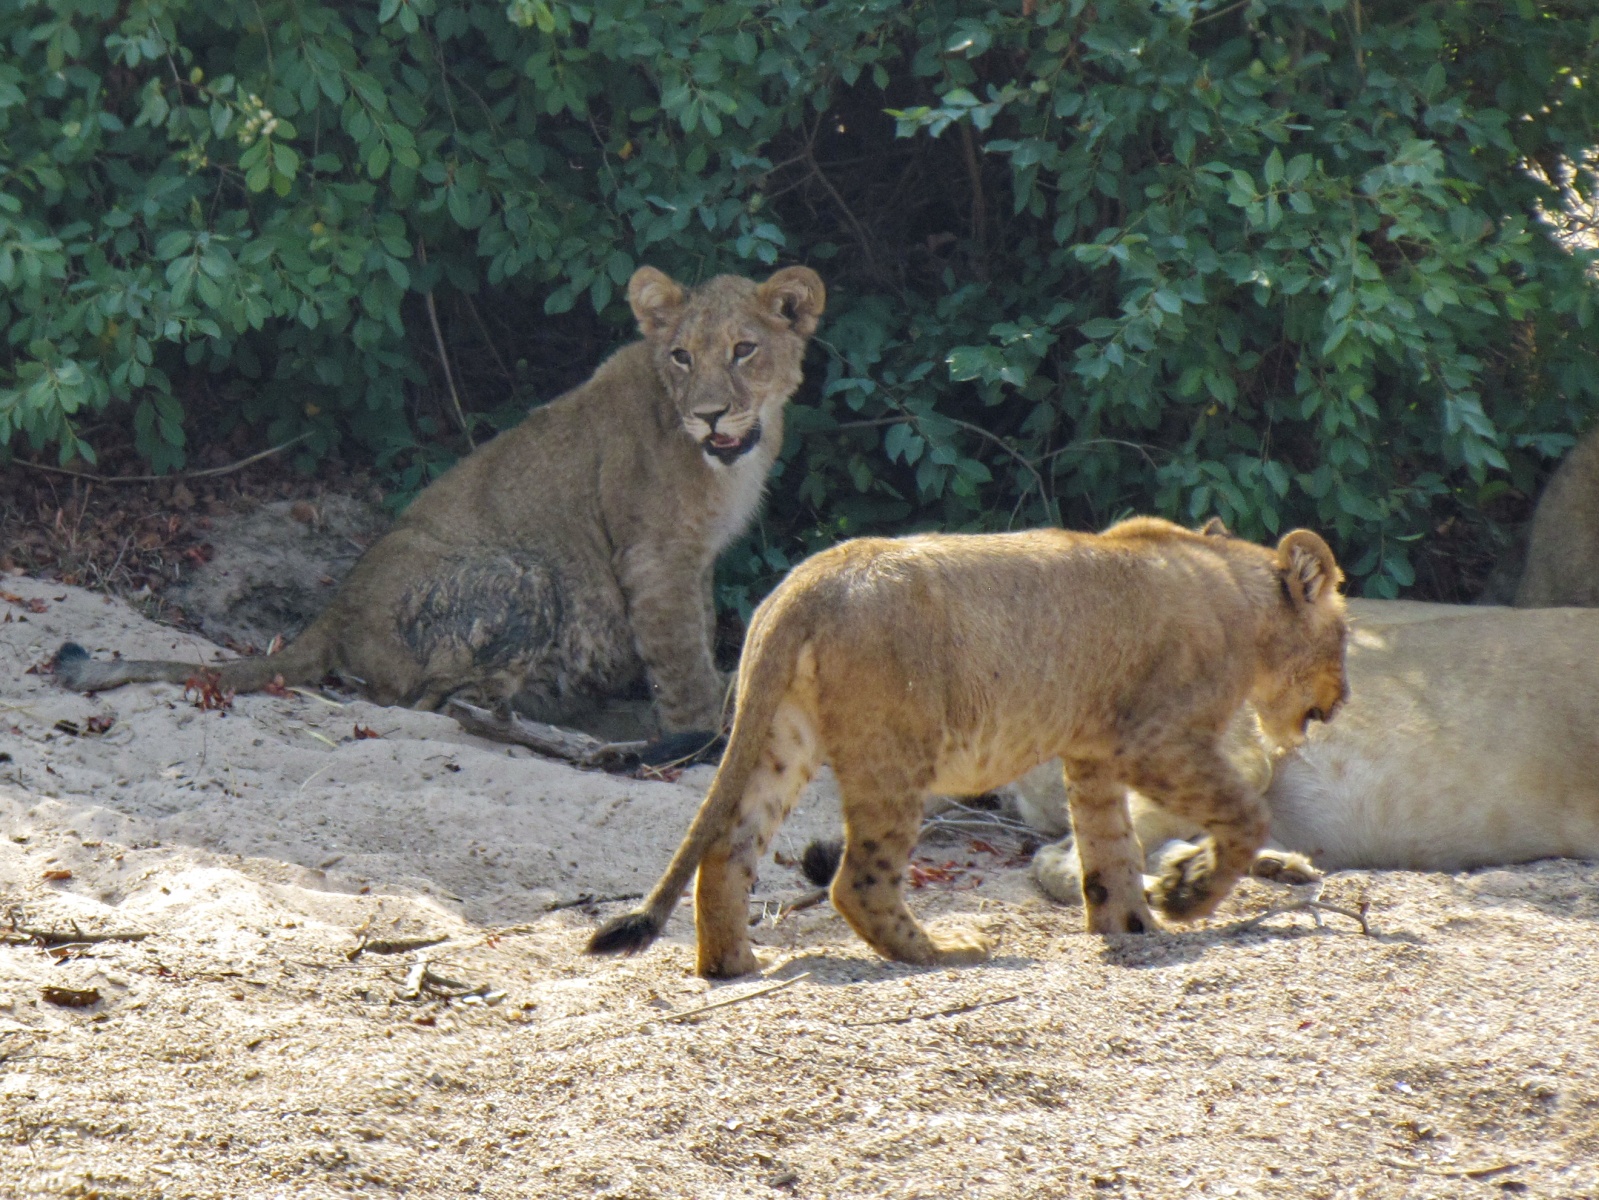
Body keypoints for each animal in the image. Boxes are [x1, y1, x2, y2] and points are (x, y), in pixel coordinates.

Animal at [53, 265, 826, 737]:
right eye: (681, 356)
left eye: (744, 349)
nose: (708, 415)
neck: (734, 456)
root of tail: (334, 610)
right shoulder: (655, 557)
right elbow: (681, 658)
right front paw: (700, 739)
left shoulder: (697, 560)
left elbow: (700, 632)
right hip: (525, 576)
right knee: (432, 701)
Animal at [586, 517, 1349, 977]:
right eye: (1344, 636)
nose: (1342, 701)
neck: (1234, 595)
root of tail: (808, 582)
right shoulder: (1154, 742)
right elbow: (1244, 813)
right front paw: (1188, 898)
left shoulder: (1094, 752)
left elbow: (1110, 850)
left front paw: (1132, 927)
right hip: (894, 754)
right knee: (855, 881)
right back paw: (944, 951)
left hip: (783, 738)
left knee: (727, 851)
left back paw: (735, 967)